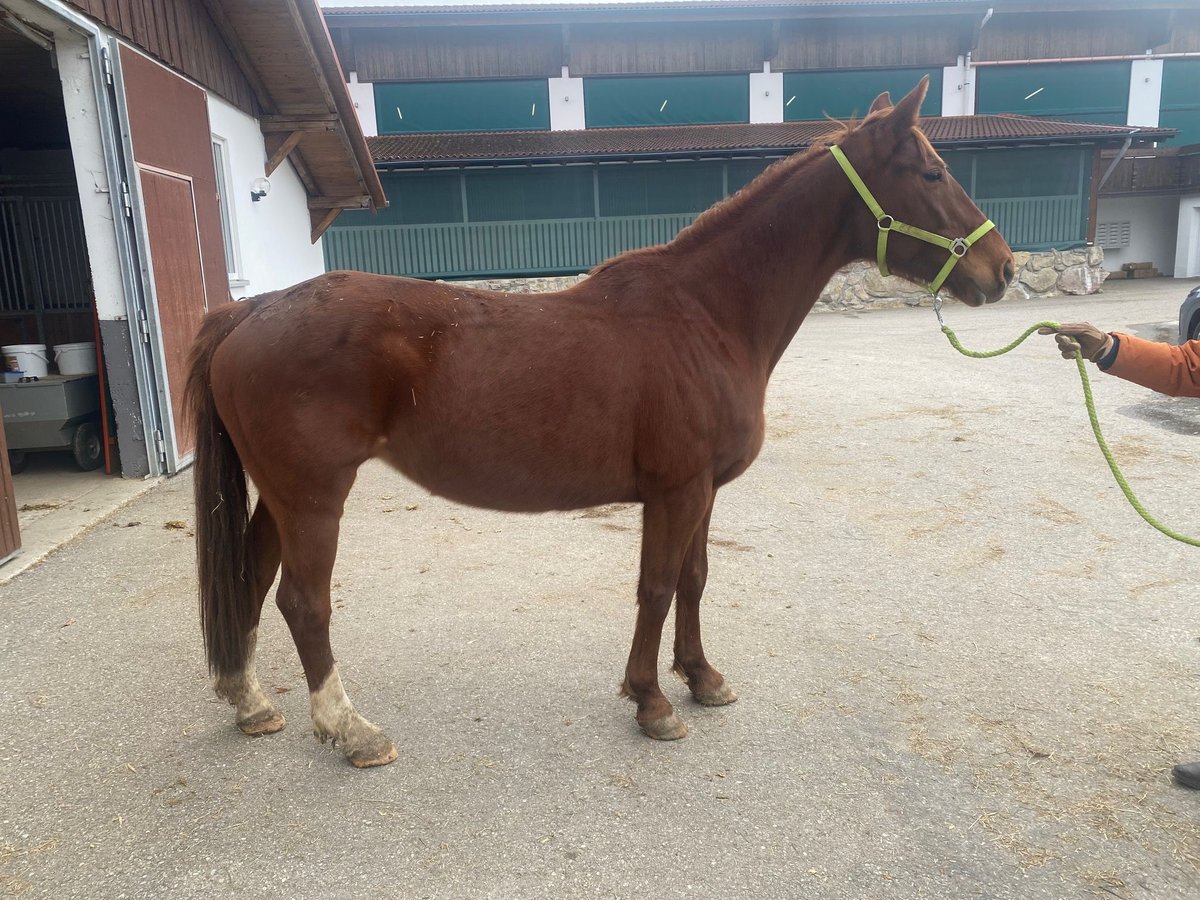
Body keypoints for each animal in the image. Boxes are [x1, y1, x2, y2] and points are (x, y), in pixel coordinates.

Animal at [187, 79, 1012, 768]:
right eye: (932, 173)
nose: (1001, 269)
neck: (707, 314)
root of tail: (252, 308)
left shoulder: (703, 491)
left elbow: (694, 580)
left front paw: (701, 678)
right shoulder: (676, 490)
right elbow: (656, 586)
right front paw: (652, 703)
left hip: (280, 496)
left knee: (253, 579)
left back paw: (250, 702)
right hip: (314, 497)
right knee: (303, 603)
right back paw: (350, 729)